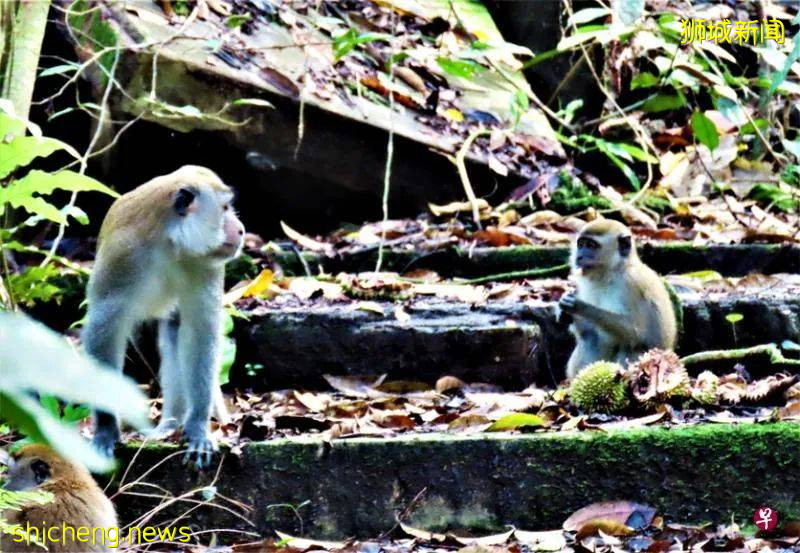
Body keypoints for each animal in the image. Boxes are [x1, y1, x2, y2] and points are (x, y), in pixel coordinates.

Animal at [83, 165, 244, 466]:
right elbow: (104, 329)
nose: (240, 229)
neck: (171, 243)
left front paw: (198, 426)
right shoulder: (122, 257)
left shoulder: (206, 265)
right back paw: (168, 425)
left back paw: (174, 421)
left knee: (175, 333)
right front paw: (106, 429)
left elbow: (200, 334)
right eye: (225, 208)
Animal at [560, 220, 680, 380]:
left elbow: (635, 332)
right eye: (581, 244)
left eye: (591, 245)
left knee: (632, 347)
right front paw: (563, 311)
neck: (613, 271)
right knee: (591, 340)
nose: (579, 257)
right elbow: (589, 332)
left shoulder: (632, 283)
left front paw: (579, 306)